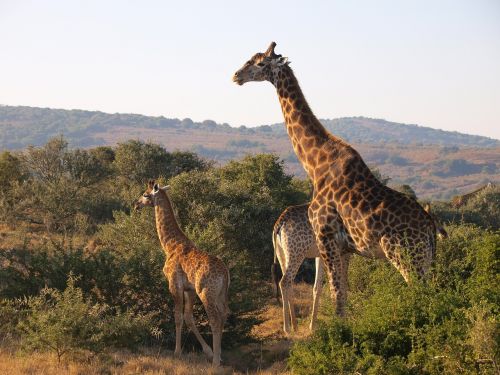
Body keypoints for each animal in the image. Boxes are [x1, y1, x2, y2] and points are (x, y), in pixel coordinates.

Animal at [136, 181, 231, 366]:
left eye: (145, 194)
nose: (136, 204)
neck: (169, 246)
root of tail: (224, 273)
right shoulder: (190, 289)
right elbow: (188, 317)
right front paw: (208, 351)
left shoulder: (174, 284)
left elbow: (178, 317)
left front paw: (177, 352)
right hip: (220, 293)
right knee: (224, 314)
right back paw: (219, 354)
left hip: (206, 292)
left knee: (215, 319)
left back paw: (216, 362)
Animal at [232, 41, 440, 318]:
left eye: (259, 63)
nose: (236, 76)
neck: (315, 164)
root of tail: (430, 228)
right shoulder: (346, 248)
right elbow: (343, 296)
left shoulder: (326, 237)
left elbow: (335, 296)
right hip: (424, 260)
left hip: (404, 255)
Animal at [272, 203, 448, 334]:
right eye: (435, 218)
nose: (444, 233)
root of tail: (279, 223)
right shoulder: (344, 252)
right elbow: (342, 285)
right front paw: (345, 319)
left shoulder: (321, 256)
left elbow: (317, 288)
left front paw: (312, 326)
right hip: (297, 252)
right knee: (285, 281)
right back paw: (288, 328)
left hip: (283, 254)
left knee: (287, 283)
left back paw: (294, 326)